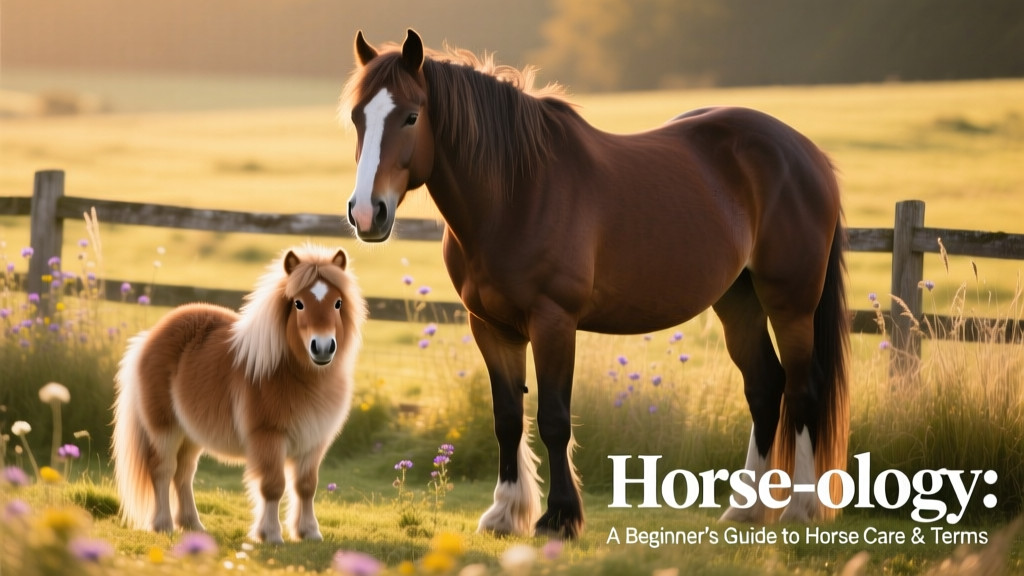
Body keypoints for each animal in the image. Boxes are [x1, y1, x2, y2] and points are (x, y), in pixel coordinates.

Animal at [111, 244, 366, 543]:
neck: (292, 374)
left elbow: (306, 486)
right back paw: (163, 525)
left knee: (183, 474)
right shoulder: (268, 438)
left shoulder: (313, 441)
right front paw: (270, 535)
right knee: (162, 470)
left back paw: (193, 524)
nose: (323, 347)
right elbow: (273, 485)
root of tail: (149, 337)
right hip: (165, 428)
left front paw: (309, 533)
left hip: (190, 433)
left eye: (337, 303)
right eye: (298, 303)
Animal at [342, 30, 849, 539]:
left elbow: (553, 419)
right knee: (764, 387)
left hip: (791, 304)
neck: (515, 194)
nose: (367, 213)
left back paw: (802, 508)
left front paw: (559, 517)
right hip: (738, 300)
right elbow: (507, 418)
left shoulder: (553, 322)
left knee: (803, 389)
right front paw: (505, 512)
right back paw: (747, 509)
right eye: (356, 117)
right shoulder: (489, 325)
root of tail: (806, 153)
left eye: (411, 116)